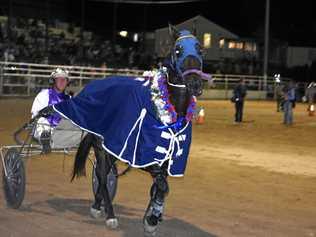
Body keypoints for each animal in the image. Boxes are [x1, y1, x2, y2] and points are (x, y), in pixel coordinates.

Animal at [64, 25, 207, 236]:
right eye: (178, 50)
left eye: (200, 50)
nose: (195, 83)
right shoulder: (146, 158)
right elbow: (162, 187)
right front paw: (152, 217)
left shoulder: (167, 160)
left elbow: (159, 188)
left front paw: (152, 215)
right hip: (101, 147)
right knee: (102, 175)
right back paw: (110, 215)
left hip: (111, 148)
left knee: (104, 174)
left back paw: (97, 205)